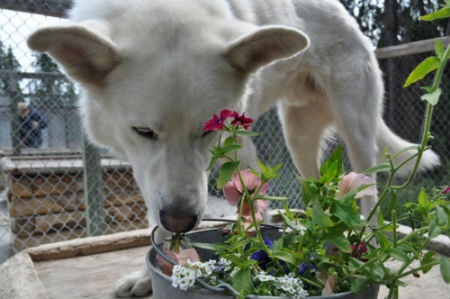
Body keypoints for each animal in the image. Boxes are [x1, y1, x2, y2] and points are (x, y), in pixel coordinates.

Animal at [26, 0, 438, 298]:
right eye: (143, 131)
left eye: (207, 130)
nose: (181, 221)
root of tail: (348, 18)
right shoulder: (145, 170)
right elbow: (154, 221)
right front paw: (149, 272)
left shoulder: (235, 144)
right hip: (298, 138)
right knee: (319, 188)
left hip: (357, 130)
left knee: (368, 194)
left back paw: (362, 245)